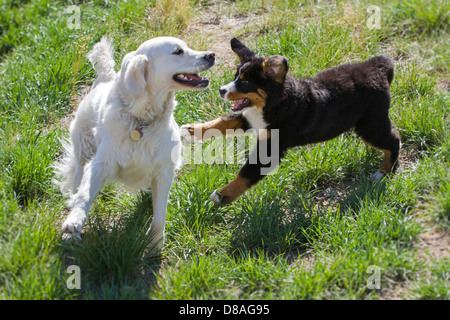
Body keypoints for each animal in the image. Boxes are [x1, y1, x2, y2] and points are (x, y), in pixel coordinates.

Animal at [54, 35, 216, 250]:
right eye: (177, 51)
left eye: (186, 46)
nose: (211, 55)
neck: (141, 120)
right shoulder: (100, 163)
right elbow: (84, 194)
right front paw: (74, 221)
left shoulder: (164, 171)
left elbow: (160, 214)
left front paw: (155, 243)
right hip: (83, 151)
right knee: (76, 186)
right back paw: (71, 234)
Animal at [180, 38, 400, 205]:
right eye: (235, 75)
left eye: (244, 82)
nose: (221, 90)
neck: (278, 103)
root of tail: (377, 66)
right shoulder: (249, 117)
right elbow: (223, 122)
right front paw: (192, 130)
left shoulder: (271, 148)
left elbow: (246, 173)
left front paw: (221, 196)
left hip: (369, 125)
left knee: (394, 140)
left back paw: (383, 172)